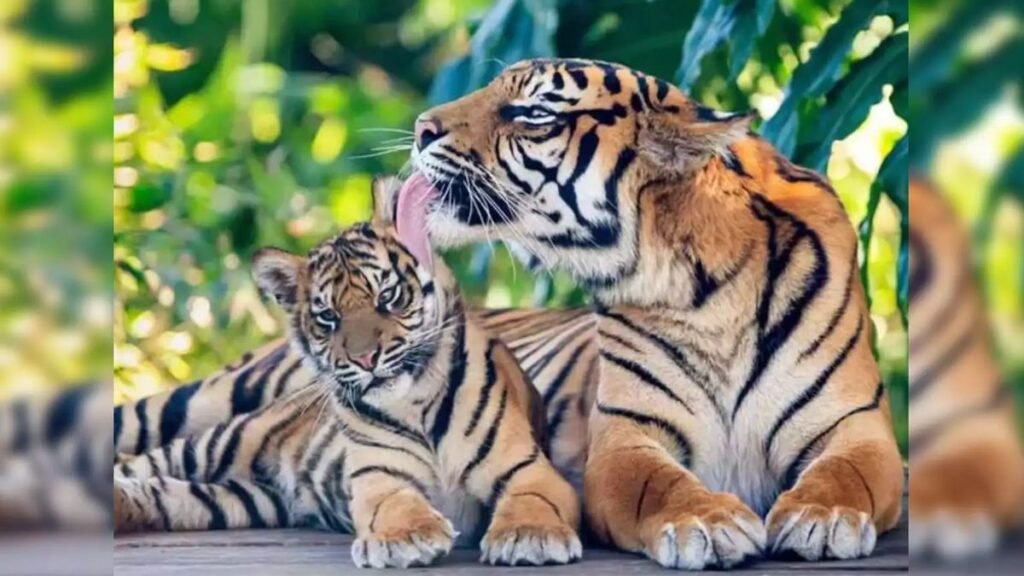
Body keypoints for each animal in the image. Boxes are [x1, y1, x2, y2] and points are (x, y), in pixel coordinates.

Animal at [113, 222, 582, 568]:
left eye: (388, 297)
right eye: (328, 318)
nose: (365, 358)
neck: (416, 403)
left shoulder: (528, 468)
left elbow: (534, 499)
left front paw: (530, 537)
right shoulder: (381, 477)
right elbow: (394, 503)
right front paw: (405, 538)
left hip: (241, 497)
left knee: (159, 492)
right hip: (215, 443)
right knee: (140, 466)